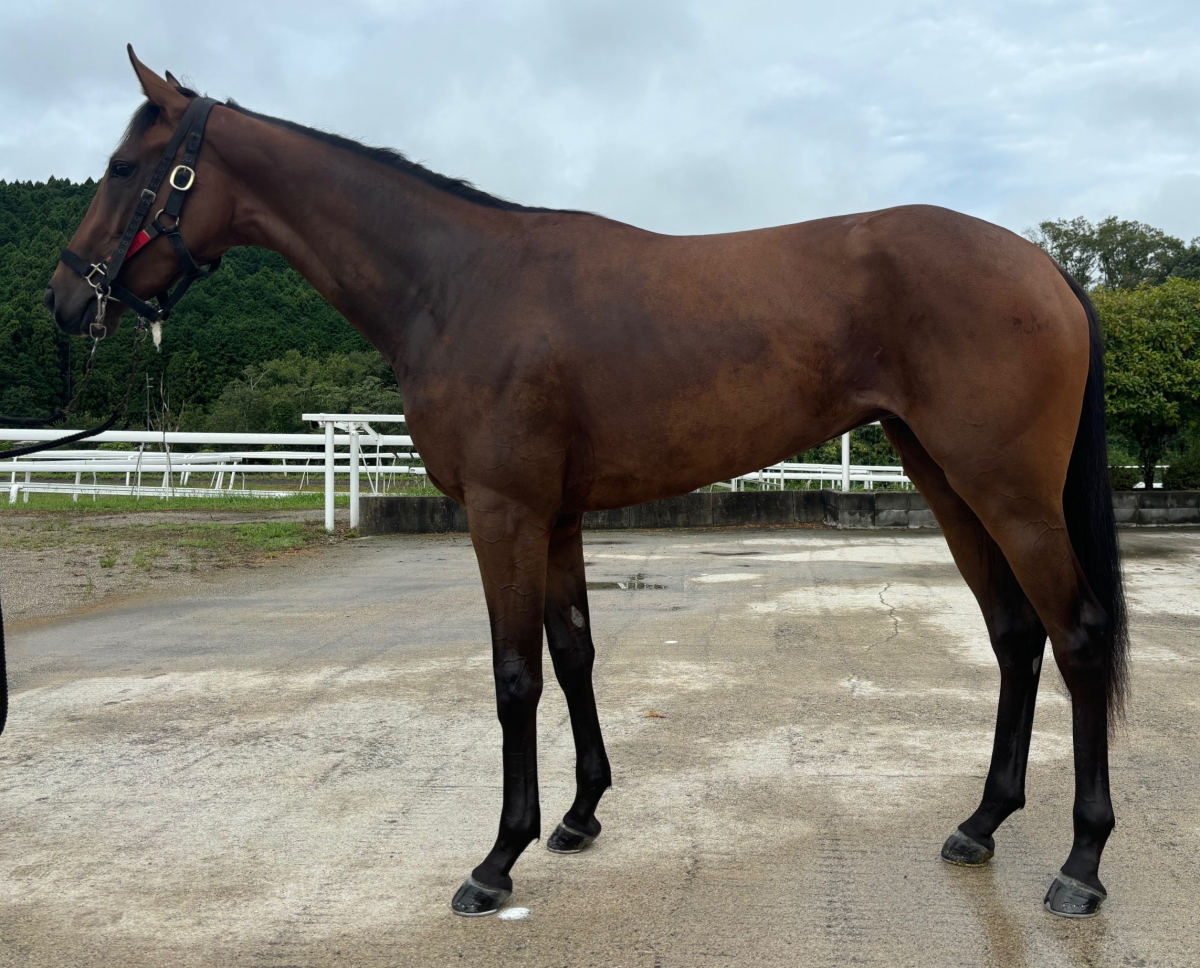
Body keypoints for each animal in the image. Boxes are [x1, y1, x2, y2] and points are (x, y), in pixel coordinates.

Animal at [42, 46, 1128, 920]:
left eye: (127, 169)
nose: (64, 296)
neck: (456, 283)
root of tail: (1045, 267)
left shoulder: (503, 512)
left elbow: (514, 673)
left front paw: (496, 861)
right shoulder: (556, 514)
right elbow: (573, 654)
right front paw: (578, 814)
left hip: (1008, 493)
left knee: (1075, 636)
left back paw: (1080, 864)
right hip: (946, 479)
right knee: (1015, 634)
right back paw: (981, 822)